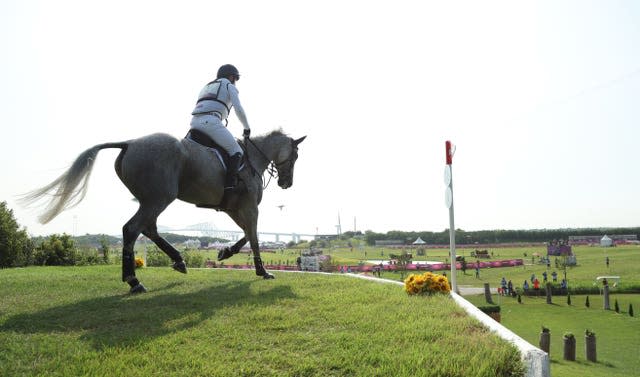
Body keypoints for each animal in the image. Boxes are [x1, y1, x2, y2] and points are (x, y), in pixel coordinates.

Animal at [21, 131, 306, 292]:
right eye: (295, 156)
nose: (287, 183)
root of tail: (129, 143)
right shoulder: (248, 207)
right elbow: (255, 236)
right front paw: (262, 271)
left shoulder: (232, 209)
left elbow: (247, 234)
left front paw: (225, 252)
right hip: (159, 198)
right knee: (132, 229)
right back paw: (134, 281)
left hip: (151, 200)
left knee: (148, 228)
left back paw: (178, 260)